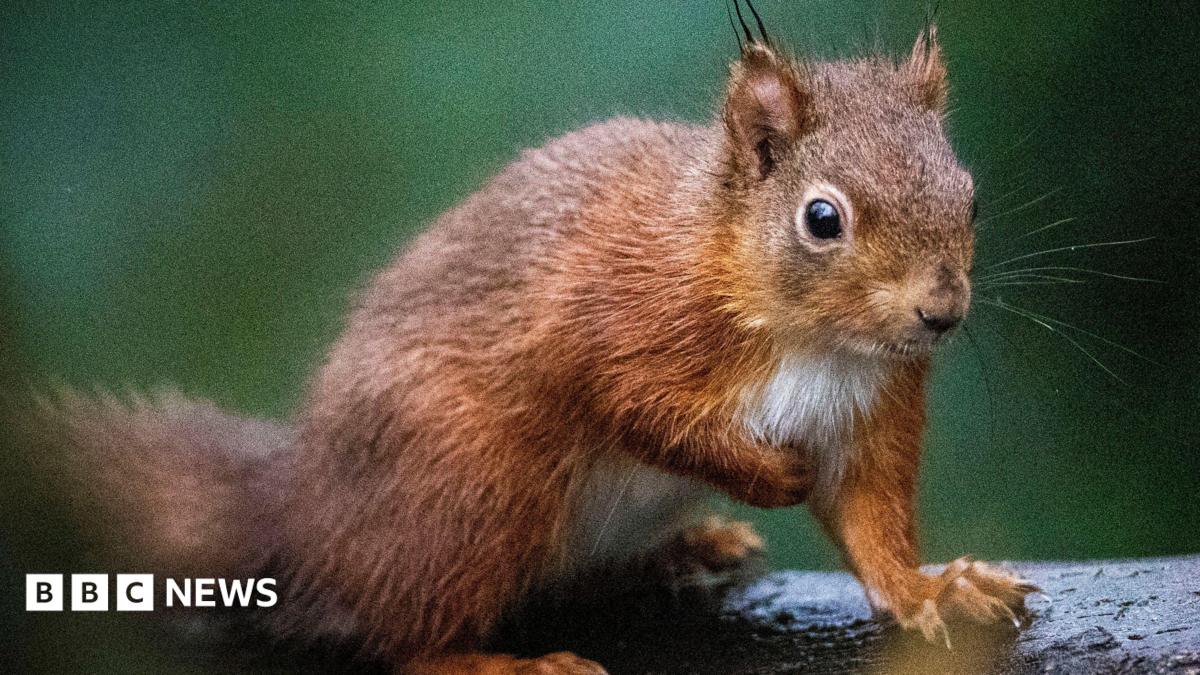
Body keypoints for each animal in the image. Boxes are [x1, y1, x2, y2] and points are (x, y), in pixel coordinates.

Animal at [30, 9, 1036, 675]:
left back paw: (684, 548)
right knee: (402, 639)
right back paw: (496, 661)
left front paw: (930, 588)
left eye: (970, 195)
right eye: (822, 218)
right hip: (472, 483)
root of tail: (301, 514)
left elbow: (871, 520)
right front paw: (764, 474)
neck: (811, 338)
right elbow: (632, 407)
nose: (941, 313)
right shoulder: (603, 320)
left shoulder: (874, 408)